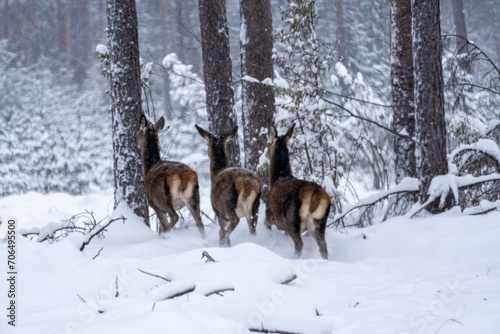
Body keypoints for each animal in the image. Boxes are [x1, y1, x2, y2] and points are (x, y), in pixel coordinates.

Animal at [266, 124, 332, 260]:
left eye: (268, 143)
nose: (265, 153)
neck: (276, 178)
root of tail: (315, 193)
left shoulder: (270, 213)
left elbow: (266, 225)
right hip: (319, 222)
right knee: (323, 244)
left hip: (292, 218)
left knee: (299, 244)